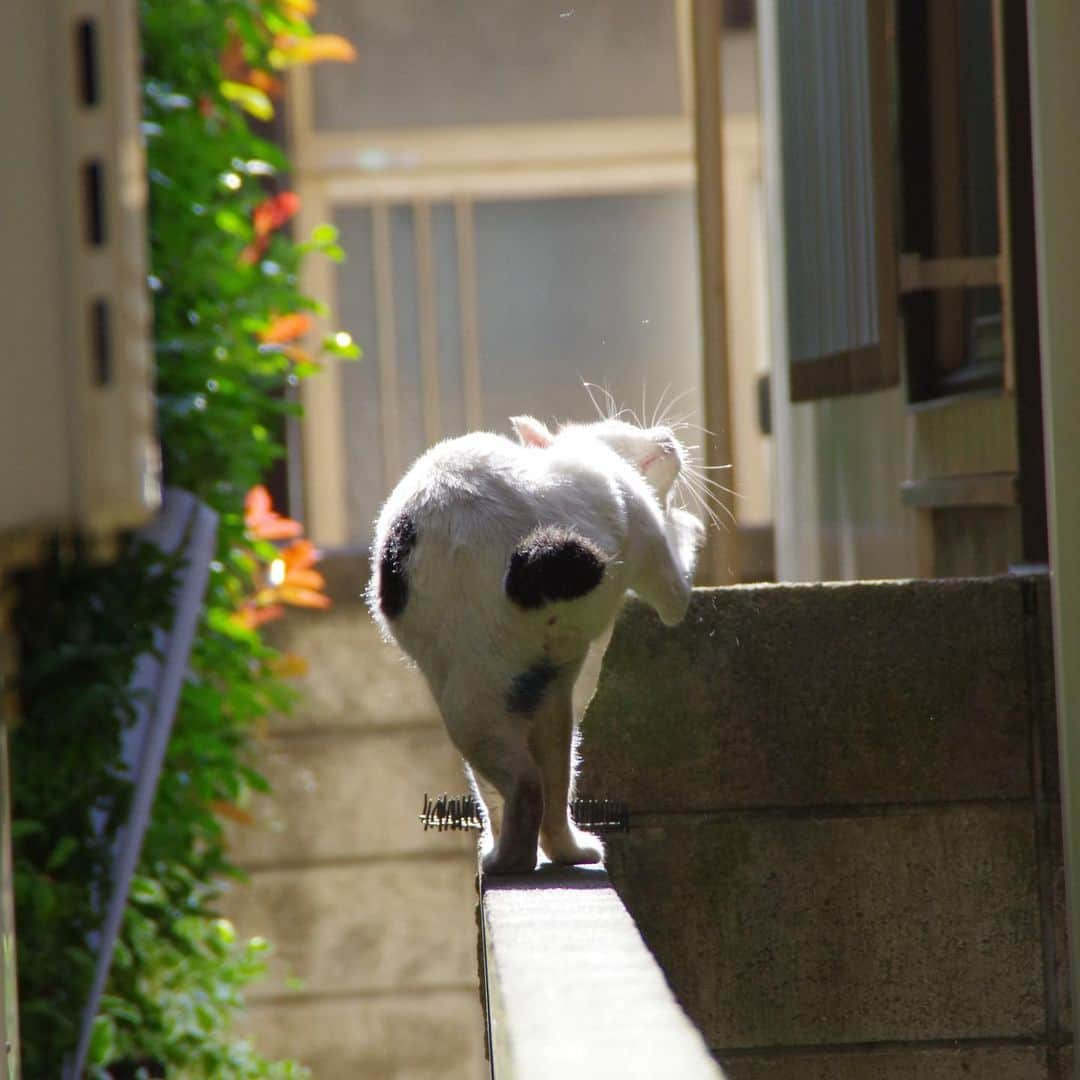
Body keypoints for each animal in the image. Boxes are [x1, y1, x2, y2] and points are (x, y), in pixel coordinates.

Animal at [369, 412, 708, 876]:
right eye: (623, 423)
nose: (669, 437)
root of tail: (527, 558)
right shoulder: (658, 554)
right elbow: (679, 578)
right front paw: (689, 522)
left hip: (488, 703)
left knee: (529, 784)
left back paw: (527, 856)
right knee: (536, 786)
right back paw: (533, 856)